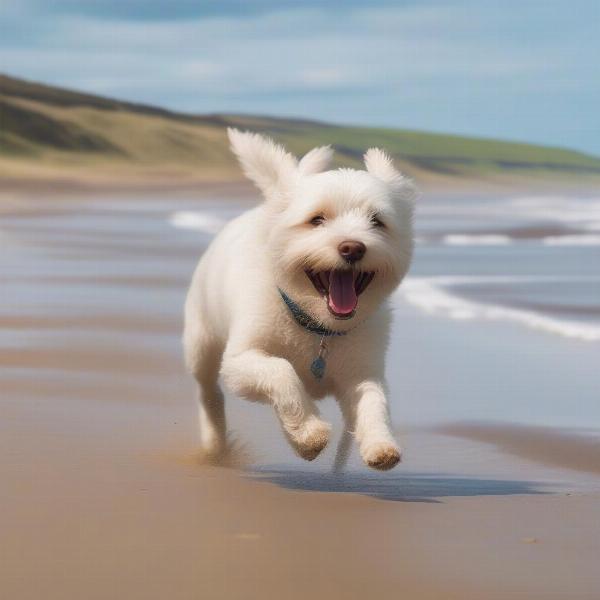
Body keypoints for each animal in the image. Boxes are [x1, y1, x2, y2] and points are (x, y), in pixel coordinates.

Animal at [185, 129, 414, 472]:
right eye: (316, 220)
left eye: (377, 221)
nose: (352, 247)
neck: (318, 326)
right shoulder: (240, 362)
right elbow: (281, 372)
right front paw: (309, 434)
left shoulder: (362, 372)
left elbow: (374, 400)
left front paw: (380, 444)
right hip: (201, 343)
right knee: (208, 391)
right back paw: (216, 444)